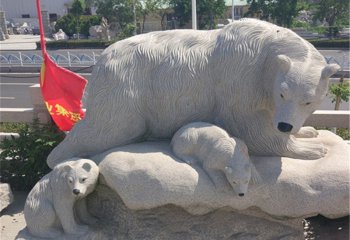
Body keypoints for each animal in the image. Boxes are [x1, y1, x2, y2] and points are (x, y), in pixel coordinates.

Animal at [47, 18, 340, 168]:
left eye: (308, 100)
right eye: (282, 94)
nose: (285, 125)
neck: (267, 49)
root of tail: (101, 59)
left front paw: (307, 132)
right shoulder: (240, 78)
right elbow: (251, 126)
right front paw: (311, 149)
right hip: (127, 87)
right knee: (107, 127)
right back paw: (60, 157)